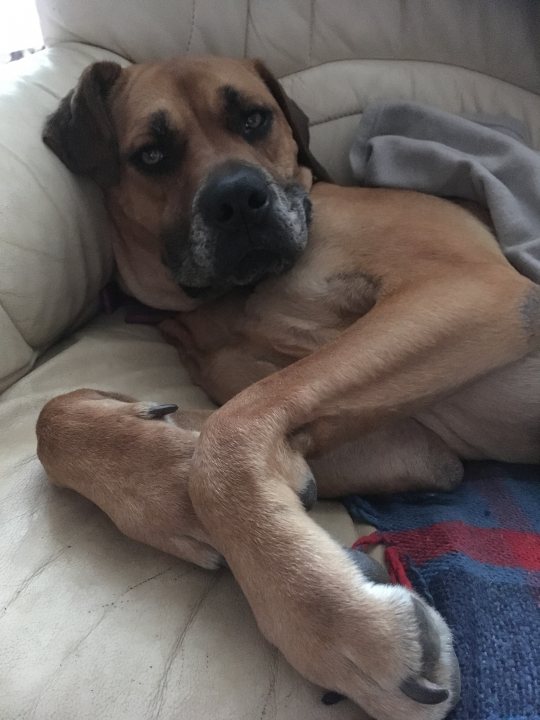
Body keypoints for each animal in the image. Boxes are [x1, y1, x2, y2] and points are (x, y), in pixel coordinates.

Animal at [37, 57, 540, 720]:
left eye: (254, 119)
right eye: (152, 154)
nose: (238, 200)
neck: (238, 298)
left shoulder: (468, 291)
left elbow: (231, 431)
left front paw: (343, 630)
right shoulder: (412, 445)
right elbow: (52, 417)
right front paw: (165, 471)